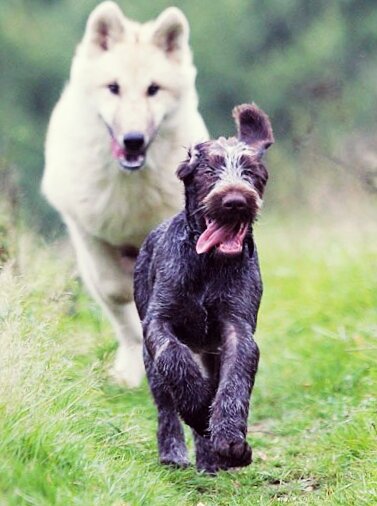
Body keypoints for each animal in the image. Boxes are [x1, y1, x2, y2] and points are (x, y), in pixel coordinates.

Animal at [44, 0, 210, 388]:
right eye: (113, 88)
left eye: (153, 89)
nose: (133, 140)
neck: (130, 185)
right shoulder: (89, 233)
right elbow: (117, 293)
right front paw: (138, 365)